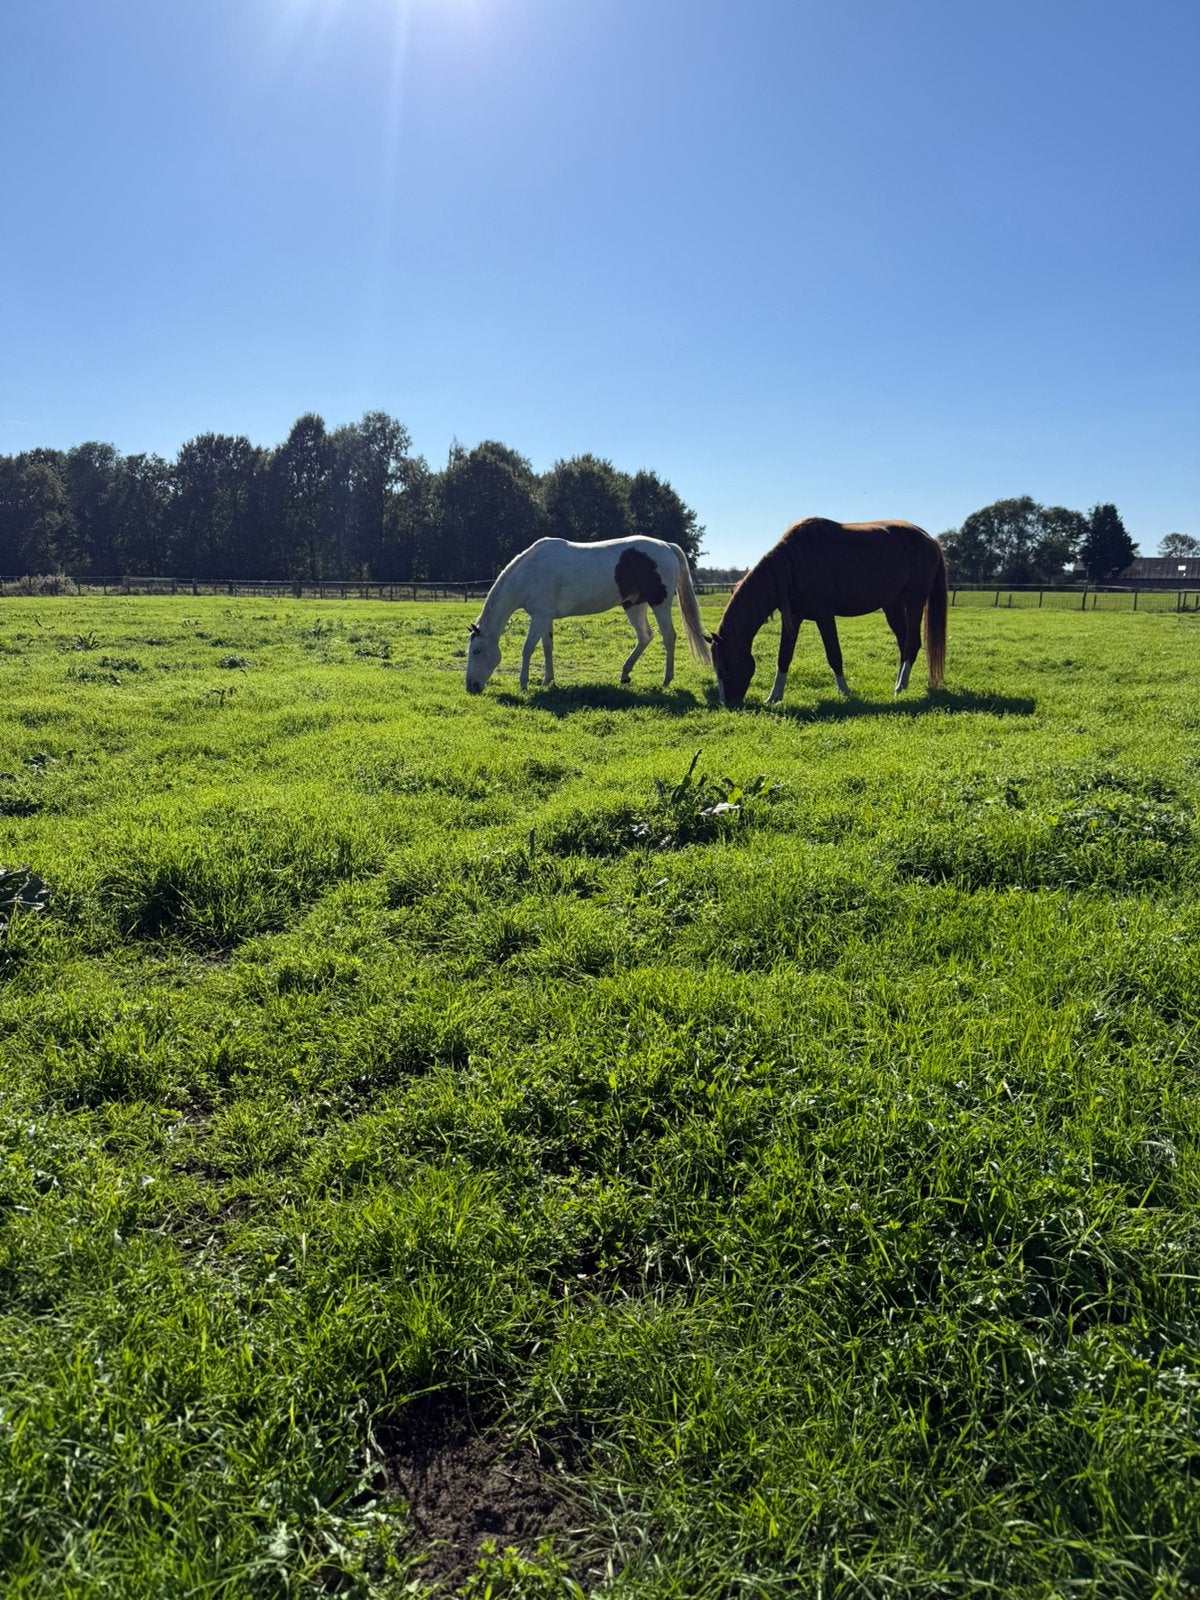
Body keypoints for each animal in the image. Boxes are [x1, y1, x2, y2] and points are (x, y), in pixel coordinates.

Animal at [464, 536, 711, 694]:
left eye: (476, 651)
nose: (471, 687)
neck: (527, 572)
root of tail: (666, 546)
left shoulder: (539, 616)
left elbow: (528, 649)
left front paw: (524, 684)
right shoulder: (546, 618)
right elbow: (547, 648)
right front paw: (547, 681)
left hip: (659, 603)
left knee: (668, 637)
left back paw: (666, 680)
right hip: (634, 605)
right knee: (645, 637)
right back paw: (625, 674)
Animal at [708, 518, 947, 707]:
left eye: (726, 666)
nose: (727, 704)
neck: (793, 564)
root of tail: (930, 539)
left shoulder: (824, 616)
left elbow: (834, 654)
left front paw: (846, 693)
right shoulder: (793, 618)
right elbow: (783, 657)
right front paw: (774, 697)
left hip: (915, 600)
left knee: (911, 644)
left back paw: (900, 688)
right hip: (892, 605)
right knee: (903, 644)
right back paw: (899, 685)